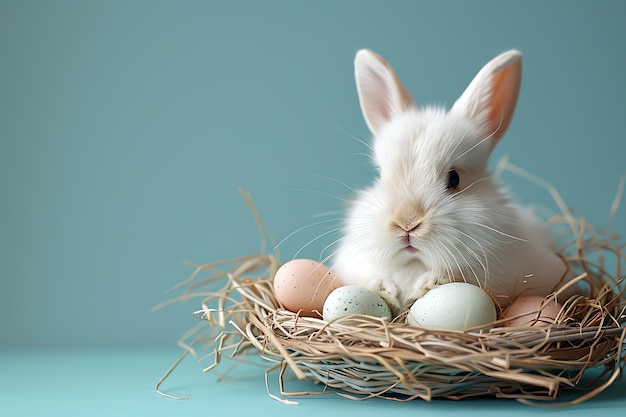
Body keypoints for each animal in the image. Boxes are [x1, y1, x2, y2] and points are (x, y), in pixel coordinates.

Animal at [332, 49, 572, 316]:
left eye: (454, 178)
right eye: (380, 176)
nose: (407, 223)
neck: (414, 264)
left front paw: (430, 283)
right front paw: (385, 289)